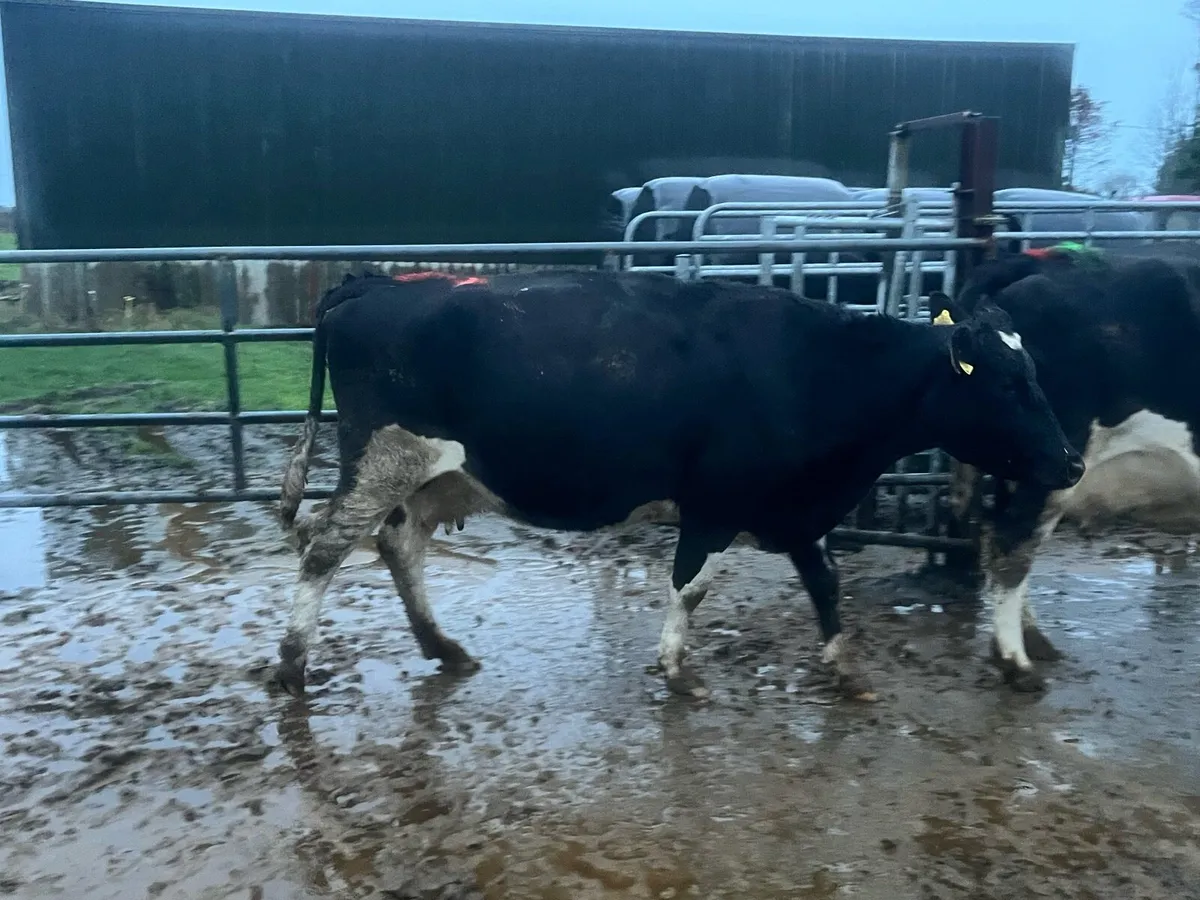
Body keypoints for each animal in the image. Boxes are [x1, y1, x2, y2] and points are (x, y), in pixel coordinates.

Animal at [274, 269, 1083, 702]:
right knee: (324, 546)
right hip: (384, 459)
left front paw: (846, 668)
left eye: (1035, 373)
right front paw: (674, 667)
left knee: (397, 545)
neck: (817, 370)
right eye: (1008, 384)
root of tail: (374, 283)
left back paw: (441, 646)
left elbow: (826, 586)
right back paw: (292, 662)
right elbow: (690, 587)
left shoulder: (796, 510)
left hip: (427, 476)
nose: (1072, 463)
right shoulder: (716, 505)